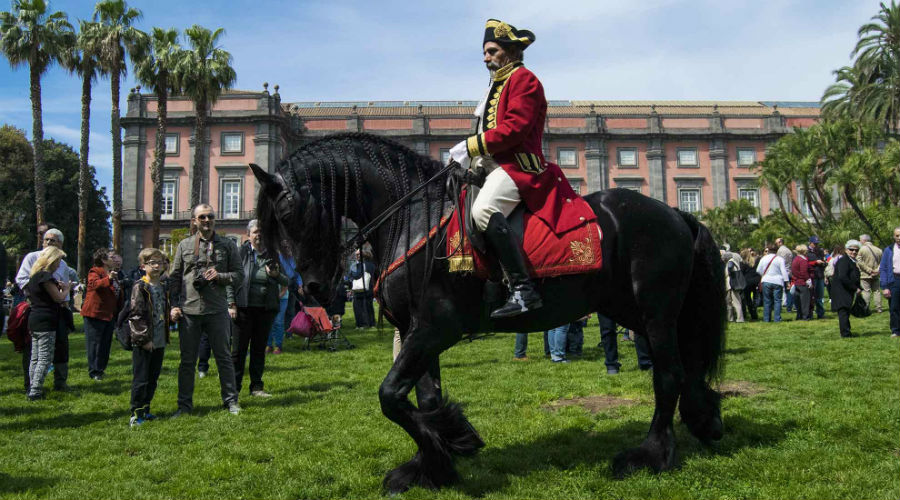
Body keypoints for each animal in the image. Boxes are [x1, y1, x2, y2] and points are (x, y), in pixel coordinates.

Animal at [250, 132, 728, 492]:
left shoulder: (434, 328)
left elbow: (390, 396)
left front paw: (442, 451)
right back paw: (705, 421)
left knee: (668, 375)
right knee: (684, 367)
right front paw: (438, 456)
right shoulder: (418, 331)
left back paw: (651, 455)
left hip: (655, 312)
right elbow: (422, 398)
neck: (414, 219)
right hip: (637, 312)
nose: (311, 288)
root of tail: (675, 212)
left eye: (288, 213)